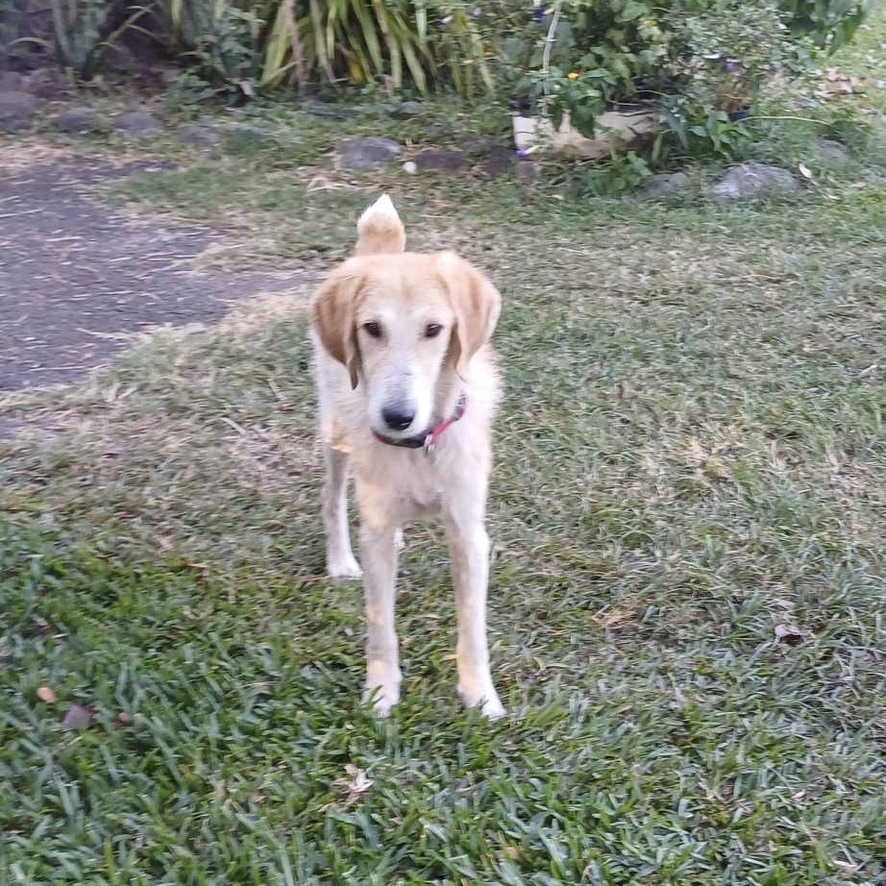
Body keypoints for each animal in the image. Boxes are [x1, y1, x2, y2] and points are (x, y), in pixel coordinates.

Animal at [310, 196, 506, 720]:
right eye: (371, 328)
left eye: (434, 330)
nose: (397, 417)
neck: (421, 448)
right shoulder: (375, 532)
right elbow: (380, 627)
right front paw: (381, 692)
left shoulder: (468, 533)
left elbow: (473, 629)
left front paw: (479, 695)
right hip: (335, 436)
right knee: (332, 499)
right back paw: (340, 559)